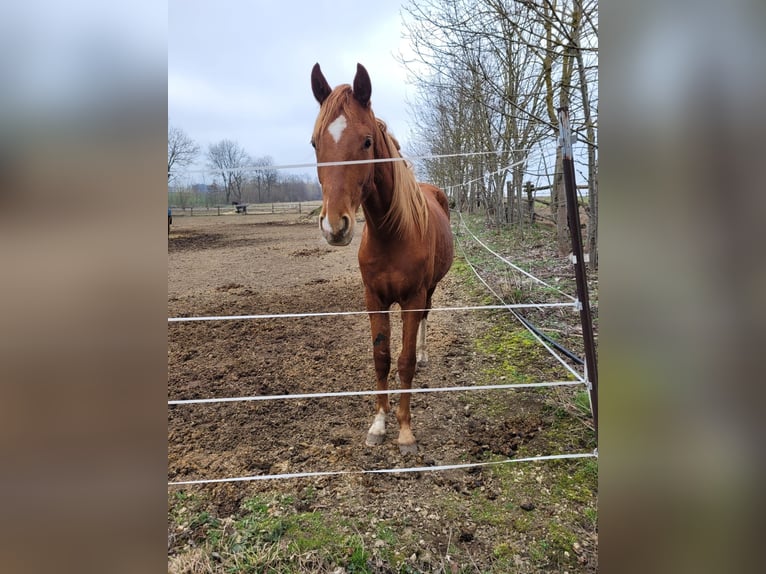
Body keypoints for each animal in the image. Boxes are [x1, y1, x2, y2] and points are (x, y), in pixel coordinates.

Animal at [312, 63, 456, 456]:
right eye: (315, 143)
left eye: (366, 141)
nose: (335, 226)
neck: (392, 234)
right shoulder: (373, 298)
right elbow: (382, 358)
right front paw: (378, 424)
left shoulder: (411, 298)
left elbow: (403, 361)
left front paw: (405, 431)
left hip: (429, 290)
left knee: (425, 320)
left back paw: (424, 356)